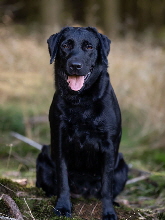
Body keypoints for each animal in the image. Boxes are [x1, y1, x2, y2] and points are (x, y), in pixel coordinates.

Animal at [36, 26, 129, 219]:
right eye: (65, 45)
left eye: (89, 47)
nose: (75, 65)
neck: (81, 100)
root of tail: (84, 192)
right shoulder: (60, 141)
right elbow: (63, 180)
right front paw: (63, 207)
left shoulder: (109, 146)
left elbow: (107, 186)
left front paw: (109, 212)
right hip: (43, 154)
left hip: (122, 164)